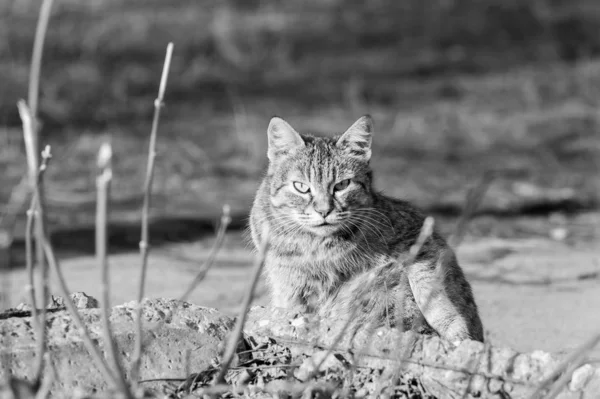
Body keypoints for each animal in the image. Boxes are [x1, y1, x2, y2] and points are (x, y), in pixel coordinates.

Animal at [251, 115, 486, 344]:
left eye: (341, 185)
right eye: (301, 187)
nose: (324, 210)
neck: (318, 246)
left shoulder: (418, 237)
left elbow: (431, 290)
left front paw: (455, 329)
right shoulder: (288, 283)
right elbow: (294, 307)